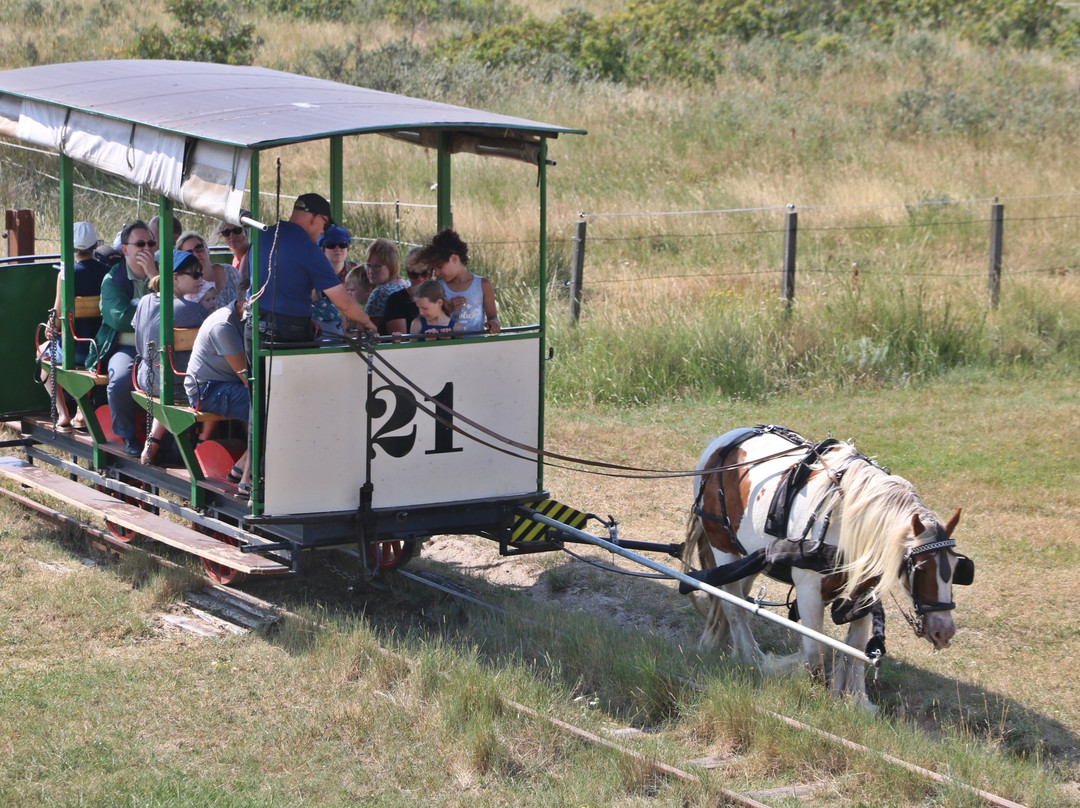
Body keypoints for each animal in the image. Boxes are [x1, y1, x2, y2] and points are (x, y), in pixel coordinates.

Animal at [686, 425, 976, 708]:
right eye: (921, 568)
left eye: (957, 569)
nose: (944, 631)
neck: (845, 523)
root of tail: (724, 441)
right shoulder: (808, 591)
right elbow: (817, 649)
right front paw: (802, 683)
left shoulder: (864, 591)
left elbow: (856, 648)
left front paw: (855, 701)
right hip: (721, 544)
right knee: (733, 605)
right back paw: (752, 657)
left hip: (749, 555)